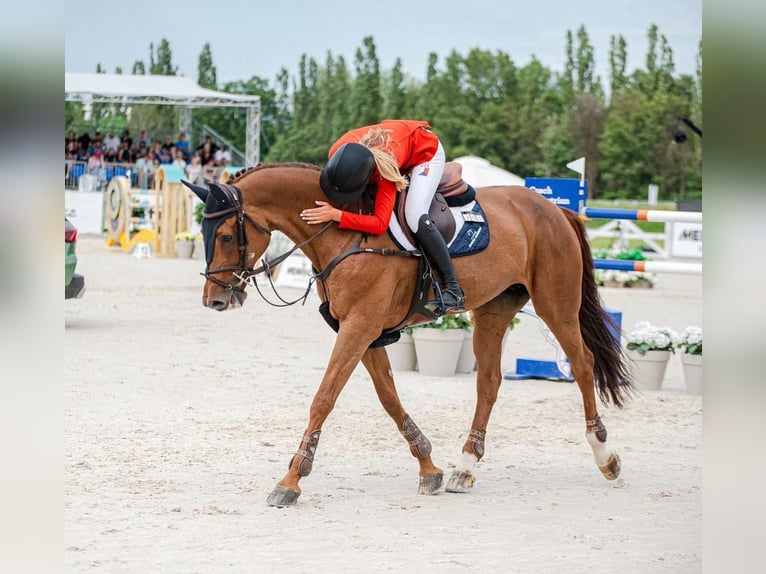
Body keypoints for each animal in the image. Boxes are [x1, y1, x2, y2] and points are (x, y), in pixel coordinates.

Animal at [183, 162, 632, 508]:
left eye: (226, 236)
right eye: (203, 236)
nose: (214, 300)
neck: (344, 231)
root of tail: (554, 210)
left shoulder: (359, 327)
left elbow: (323, 398)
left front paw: (291, 480)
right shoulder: (364, 332)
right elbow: (389, 397)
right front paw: (429, 467)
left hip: (556, 304)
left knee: (582, 363)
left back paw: (605, 456)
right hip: (494, 310)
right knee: (488, 382)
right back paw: (465, 467)